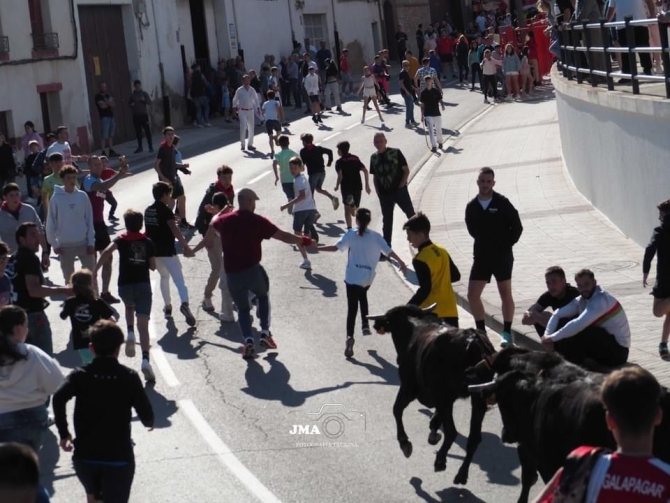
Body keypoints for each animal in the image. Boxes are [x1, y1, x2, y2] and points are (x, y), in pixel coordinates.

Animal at [368, 306, 498, 486]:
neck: (415, 326)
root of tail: (473, 341)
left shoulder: (409, 388)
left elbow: (396, 409)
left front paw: (405, 443)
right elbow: (434, 420)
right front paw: (433, 433)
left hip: (446, 397)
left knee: (452, 432)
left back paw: (440, 461)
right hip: (478, 398)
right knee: (474, 438)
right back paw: (461, 474)